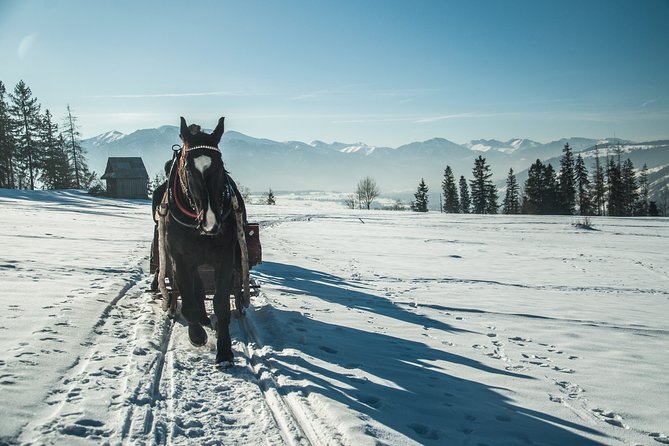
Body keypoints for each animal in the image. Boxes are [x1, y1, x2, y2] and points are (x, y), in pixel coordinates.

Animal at [161, 116, 244, 364]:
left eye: (219, 164)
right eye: (187, 168)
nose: (211, 223)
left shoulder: (225, 258)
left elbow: (221, 303)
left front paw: (225, 351)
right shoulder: (180, 260)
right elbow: (188, 299)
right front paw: (197, 335)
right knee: (195, 291)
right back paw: (201, 321)